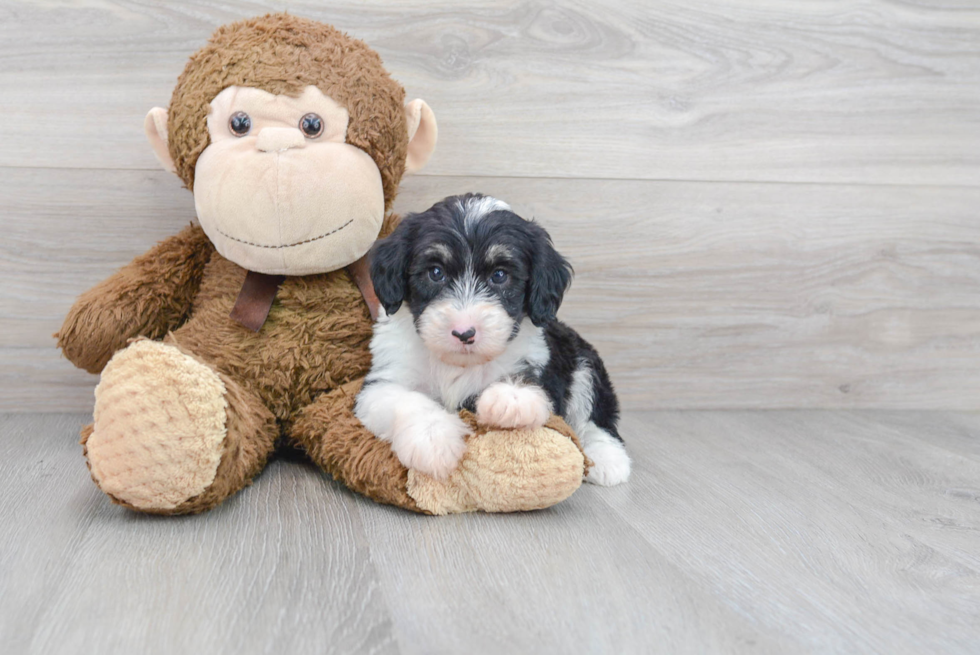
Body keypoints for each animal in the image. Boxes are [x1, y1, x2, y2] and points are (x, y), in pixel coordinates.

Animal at [352, 195, 628, 486]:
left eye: (499, 275)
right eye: (435, 272)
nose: (464, 333)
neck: (457, 364)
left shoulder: (539, 362)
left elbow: (528, 385)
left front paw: (511, 397)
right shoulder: (383, 381)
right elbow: (407, 400)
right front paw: (433, 439)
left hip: (583, 359)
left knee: (596, 415)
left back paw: (607, 459)